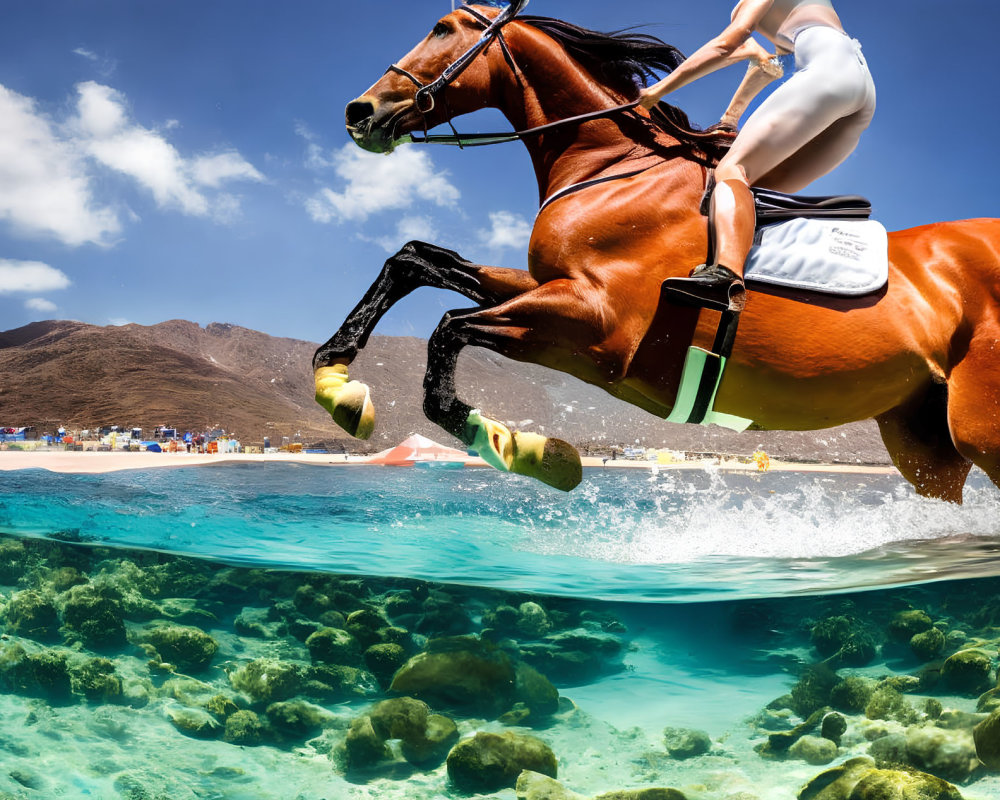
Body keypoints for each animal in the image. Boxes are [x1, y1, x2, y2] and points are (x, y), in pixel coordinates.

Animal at [314, 6, 1000, 504]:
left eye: (442, 27)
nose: (359, 110)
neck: (611, 167)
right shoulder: (549, 286)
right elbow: (415, 259)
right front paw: (335, 379)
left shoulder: (597, 327)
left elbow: (448, 332)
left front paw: (531, 451)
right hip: (925, 445)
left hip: (978, 428)